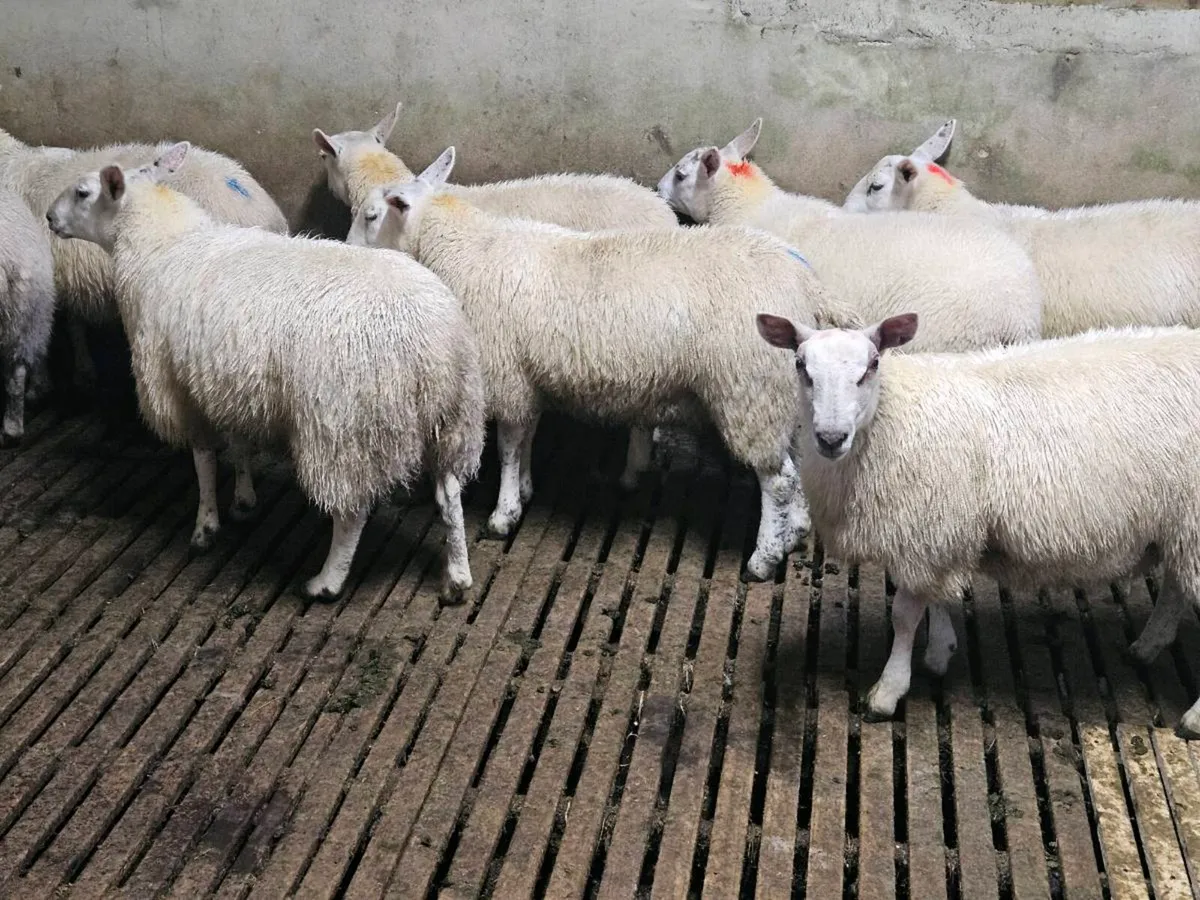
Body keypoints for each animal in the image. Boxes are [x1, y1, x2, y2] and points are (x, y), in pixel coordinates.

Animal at [45, 142, 485, 603]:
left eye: (82, 192)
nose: (49, 219)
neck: (162, 245)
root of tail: (432, 342)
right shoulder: (224, 381)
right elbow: (238, 444)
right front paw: (243, 499)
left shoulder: (177, 387)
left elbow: (203, 458)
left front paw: (205, 526)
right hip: (452, 420)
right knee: (449, 494)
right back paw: (457, 574)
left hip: (345, 428)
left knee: (352, 511)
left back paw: (327, 580)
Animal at [347, 146, 864, 582]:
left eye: (372, 215)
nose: (345, 248)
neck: (465, 250)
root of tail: (805, 285)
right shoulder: (528, 374)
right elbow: (528, 434)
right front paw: (526, 490)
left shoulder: (506, 372)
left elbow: (510, 443)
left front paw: (503, 513)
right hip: (783, 394)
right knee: (796, 468)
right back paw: (794, 534)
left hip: (749, 392)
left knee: (778, 481)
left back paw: (763, 558)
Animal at [756, 311, 1200, 737]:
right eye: (801, 365)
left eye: (873, 364)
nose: (831, 438)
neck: (890, 417)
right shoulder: (937, 530)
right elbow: (932, 598)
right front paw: (940, 649)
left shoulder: (926, 529)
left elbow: (904, 616)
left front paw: (887, 692)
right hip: (1181, 527)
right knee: (1175, 585)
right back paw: (1146, 646)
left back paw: (1191, 718)